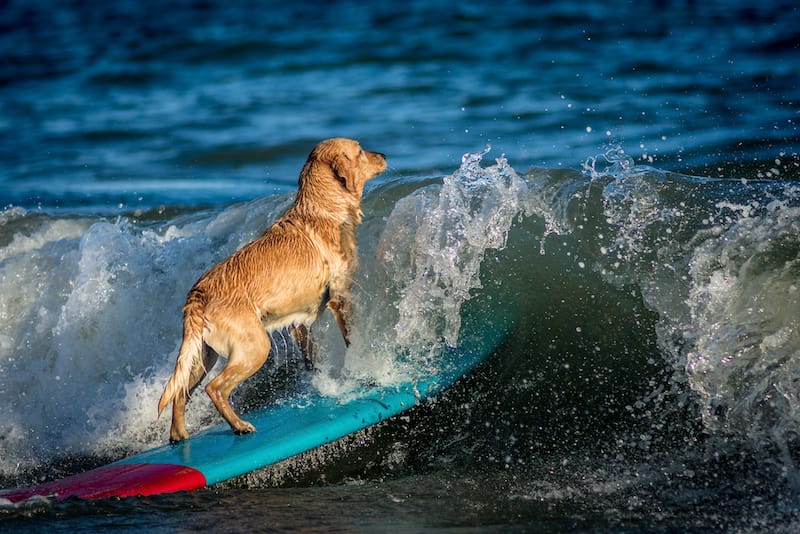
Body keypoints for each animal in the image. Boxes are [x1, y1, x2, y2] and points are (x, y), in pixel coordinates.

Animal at [157, 138, 388, 444]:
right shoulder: (341, 297)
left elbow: (311, 357)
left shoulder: (300, 322)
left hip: (203, 355)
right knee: (215, 388)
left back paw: (179, 434)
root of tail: (198, 292)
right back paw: (239, 425)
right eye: (360, 151)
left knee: (181, 391)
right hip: (255, 347)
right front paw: (363, 367)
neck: (324, 207)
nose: (384, 155)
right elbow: (352, 338)